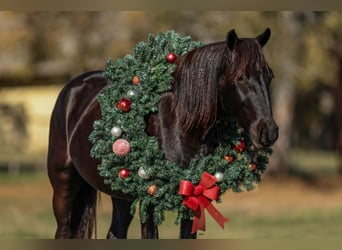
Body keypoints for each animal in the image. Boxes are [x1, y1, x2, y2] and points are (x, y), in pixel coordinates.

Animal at [47, 28, 278, 239]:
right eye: (241, 78)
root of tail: (72, 89)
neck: (179, 122)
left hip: (121, 194)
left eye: (270, 75)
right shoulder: (150, 199)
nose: (269, 131)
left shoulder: (192, 197)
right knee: (63, 231)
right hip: (63, 186)